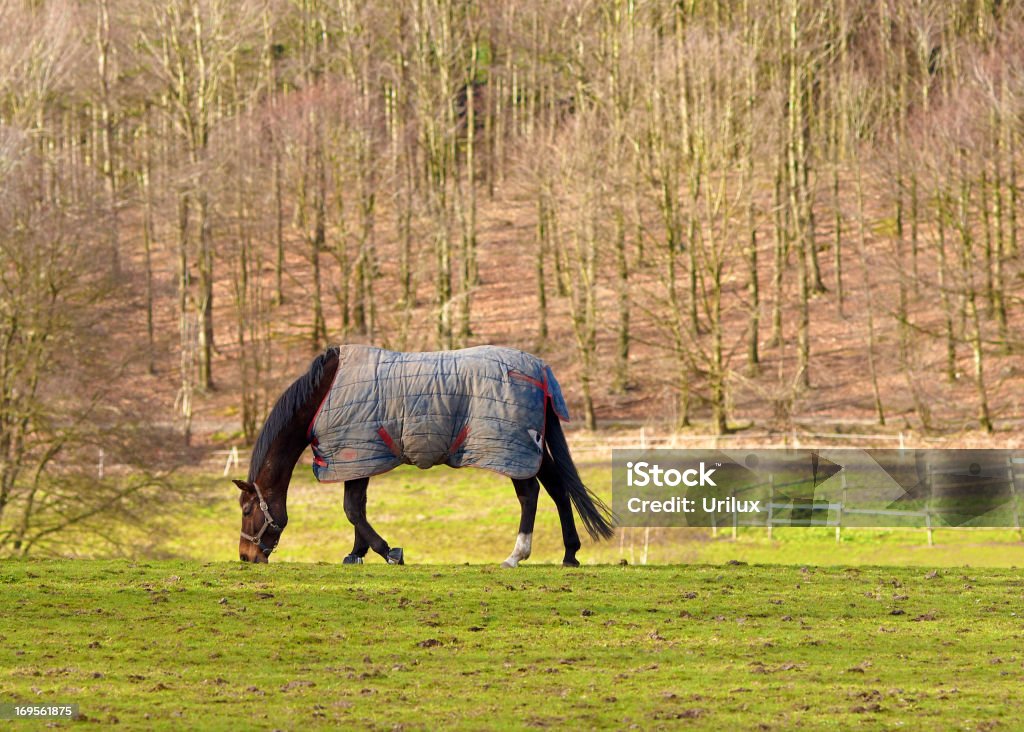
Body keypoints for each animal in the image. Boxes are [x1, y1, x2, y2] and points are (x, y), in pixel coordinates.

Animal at [235, 343, 610, 565]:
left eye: (247, 510)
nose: (246, 555)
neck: (323, 395)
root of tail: (540, 370)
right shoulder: (359, 458)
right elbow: (358, 508)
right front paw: (357, 553)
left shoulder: (355, 452)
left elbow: (352, 509)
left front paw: (389, 552)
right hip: (529, 449)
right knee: (558, 489)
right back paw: (570, 553)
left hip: (510, 450)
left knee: (529, 495)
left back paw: (517, 554)